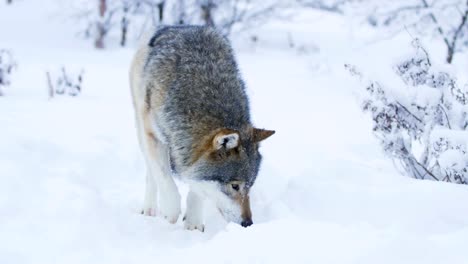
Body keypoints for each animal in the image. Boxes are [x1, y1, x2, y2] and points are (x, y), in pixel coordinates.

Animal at [128, 25, 274, 231]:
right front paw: (170, 212)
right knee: (151, 171)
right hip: (140, 125)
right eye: (235, 186)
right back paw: (149, 209)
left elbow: (198, 189)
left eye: (250, 186)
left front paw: (194, 224)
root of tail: (179, 26)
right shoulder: (153, 136)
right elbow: (166, 182)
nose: (248, 224)